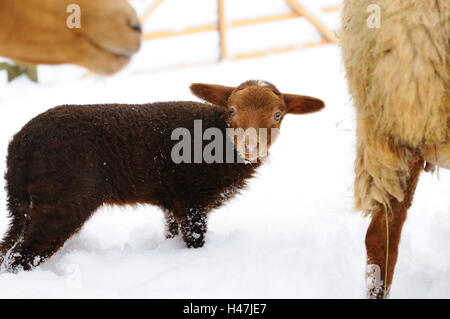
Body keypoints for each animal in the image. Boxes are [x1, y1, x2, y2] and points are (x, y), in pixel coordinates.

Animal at [0, 80, 324, 272]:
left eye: (278, 115)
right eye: (231, 110)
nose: (250, 146)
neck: (218, 141)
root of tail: (19, 146)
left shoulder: (173, 202)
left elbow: (171, 233)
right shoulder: (193, 198)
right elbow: (195, 239)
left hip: (23, 204)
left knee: (8, 247)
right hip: (64, 200)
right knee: (22, 257)